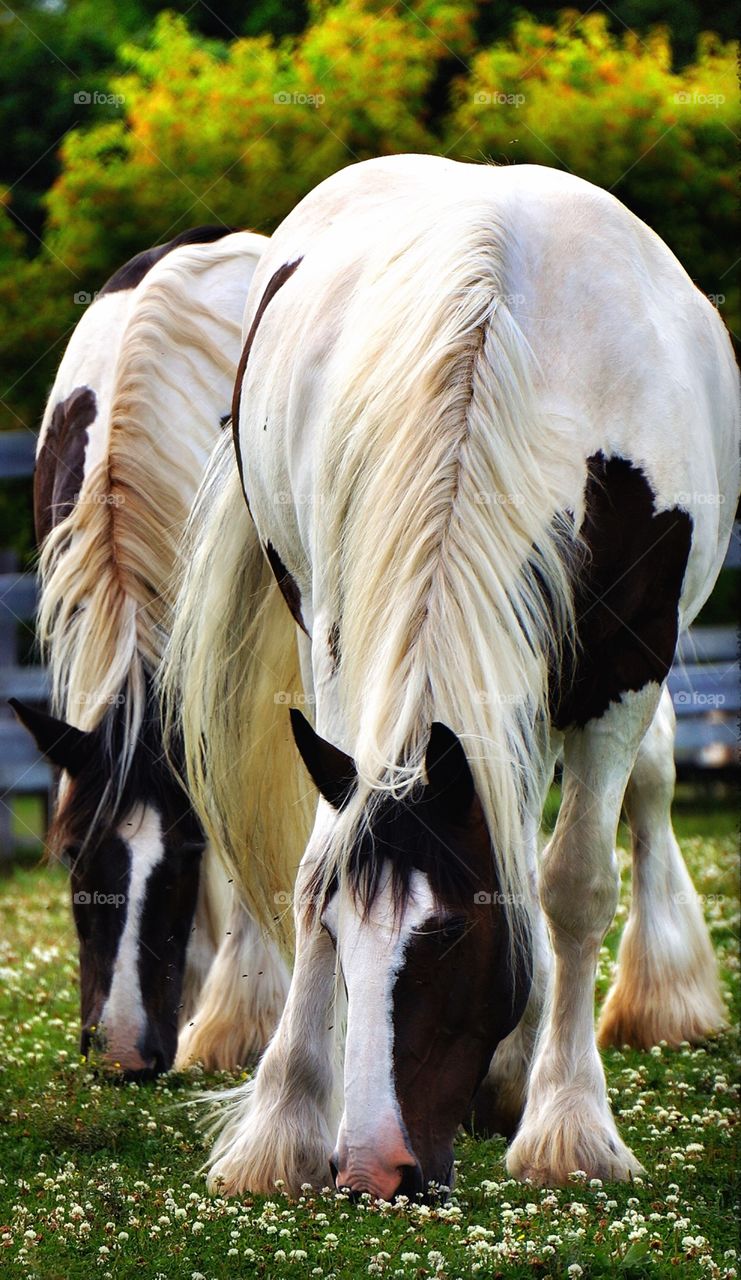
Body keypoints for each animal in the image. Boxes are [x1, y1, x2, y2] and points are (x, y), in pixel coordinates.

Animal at [160, 154, 737, 1192]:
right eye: (339, 931)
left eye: (453, 934)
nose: (373, 1170)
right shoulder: (342, 641)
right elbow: (319, 858)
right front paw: (283, 1121)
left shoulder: (624, 665)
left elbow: (572, 882)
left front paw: (567, 1126)